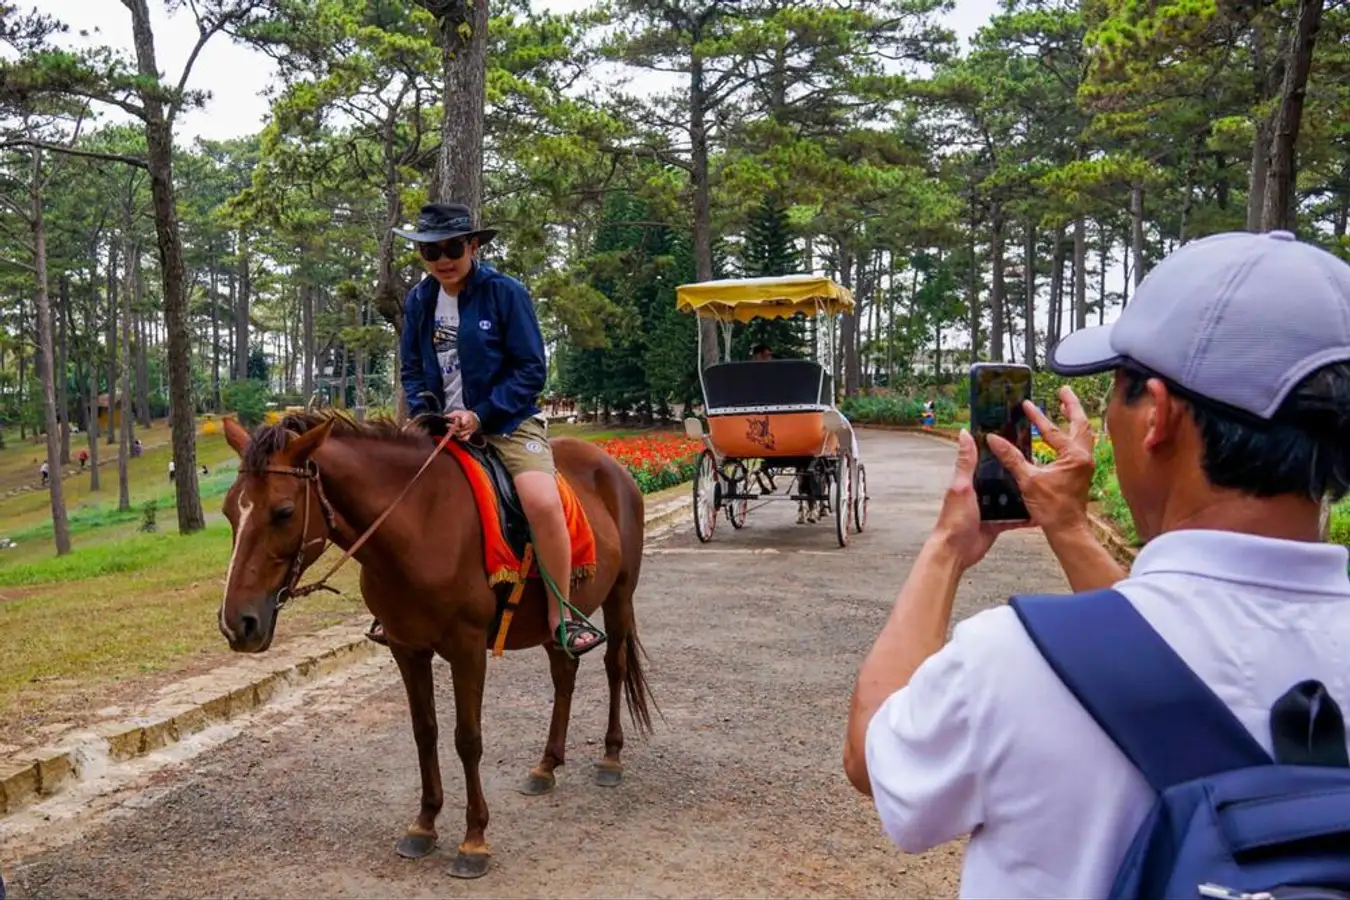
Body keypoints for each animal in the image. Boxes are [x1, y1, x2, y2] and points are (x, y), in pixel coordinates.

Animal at [218, 415, 656, 879]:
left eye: (283, 512)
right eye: (229, 511)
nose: (237, 623)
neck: (419, 525)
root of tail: (613, 467)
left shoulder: (467, 649)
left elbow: (468, 739)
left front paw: (474, 839)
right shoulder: (406, 649)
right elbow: (424, 732)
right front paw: (425, 823)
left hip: (620, 595)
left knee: (615, 666)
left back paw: (611, 756)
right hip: (553, 623)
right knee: (564, 674)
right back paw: (547, 764)